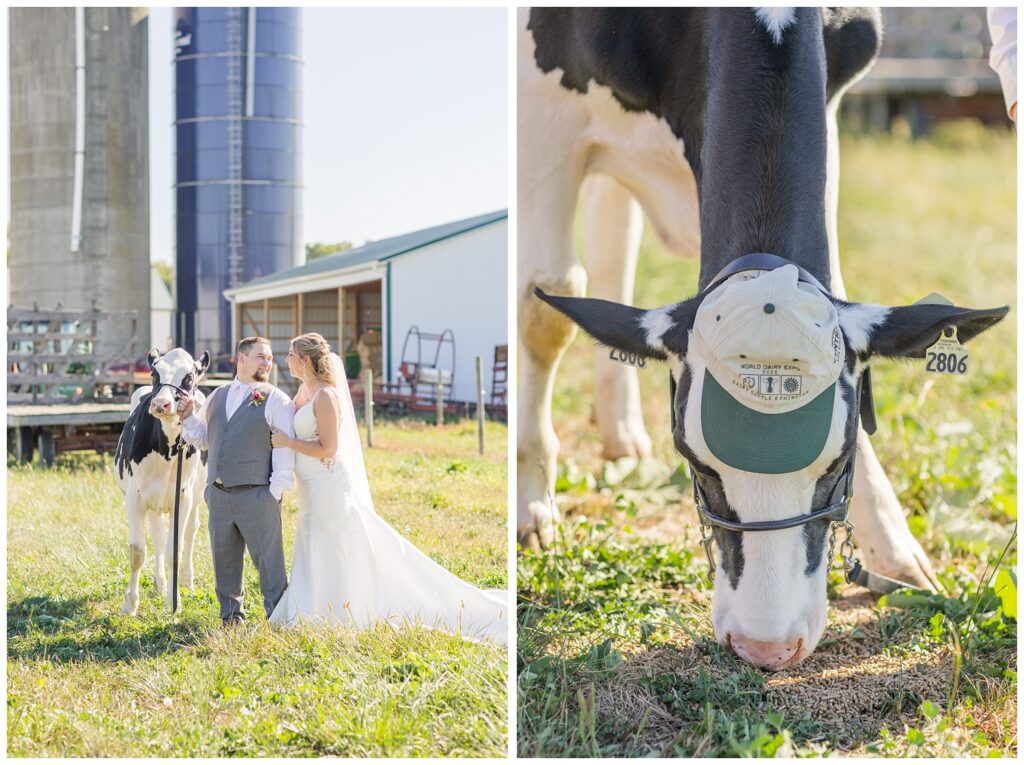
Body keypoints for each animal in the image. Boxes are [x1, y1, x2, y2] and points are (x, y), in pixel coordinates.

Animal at [116, 346, 209, 614]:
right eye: (154, 374)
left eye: (189, 377)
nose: (160, 403)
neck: (166, 450)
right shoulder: (134, 498)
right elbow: (138, 552)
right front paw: (130, 603)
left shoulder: (183, 497)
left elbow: (174, 550)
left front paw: (174, 600)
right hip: (155, 501)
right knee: (157, 534)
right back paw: (159, 583)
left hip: (195, 497)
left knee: (190, 531)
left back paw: (187, 581)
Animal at [520, 8, 1007, 671]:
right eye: (696, 468)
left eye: (841, 464)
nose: (766, 648)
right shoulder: (543, 110)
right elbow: (545, 305)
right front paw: (530, 503)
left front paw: (895, 551)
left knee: (613, 231)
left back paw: (621, 433)